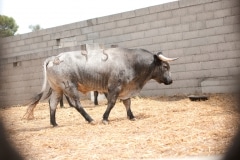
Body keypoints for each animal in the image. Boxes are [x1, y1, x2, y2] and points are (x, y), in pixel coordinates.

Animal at [24, 47, 178, 126]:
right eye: (165, 66)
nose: (171, 81)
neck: (131, 61)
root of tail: (54, 58)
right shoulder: (115, 87)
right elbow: (112, 103)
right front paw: (105, 118)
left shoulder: (125, 89)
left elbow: (127, 103)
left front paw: (131, 116)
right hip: (69, 87)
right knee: (76, 104)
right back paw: (90, 119)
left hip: (57, 89)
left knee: (53, 104)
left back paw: (54, 123)